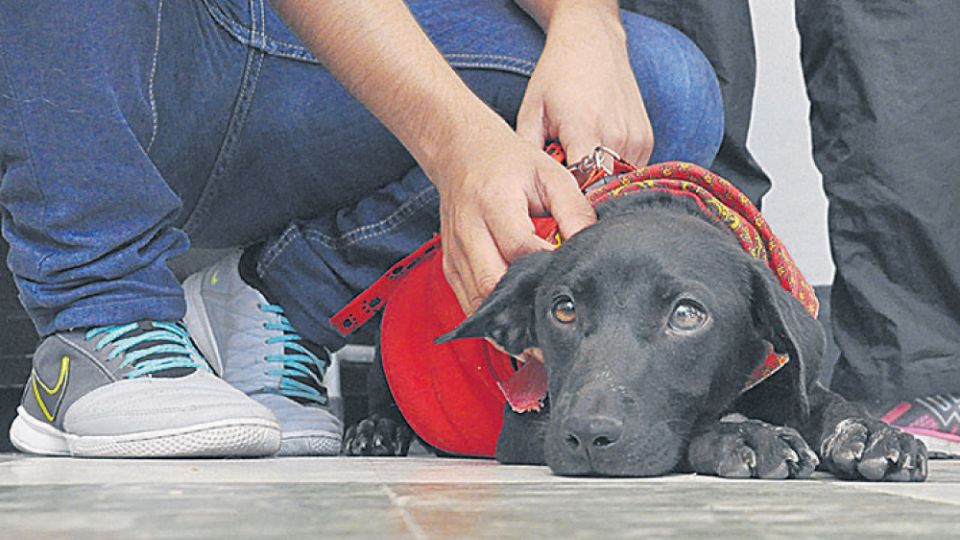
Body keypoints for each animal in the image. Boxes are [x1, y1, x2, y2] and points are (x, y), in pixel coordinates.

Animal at [340, 161, 928, 482]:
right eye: (564, 308)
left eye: (687, 315)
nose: (586, 436)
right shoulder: (528, 429)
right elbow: (687, 434)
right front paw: (744, 437)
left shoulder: (780, 374)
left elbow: (827, 403)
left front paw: (873, 433)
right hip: (383, 361)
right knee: (379, 400)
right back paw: (374, 431)